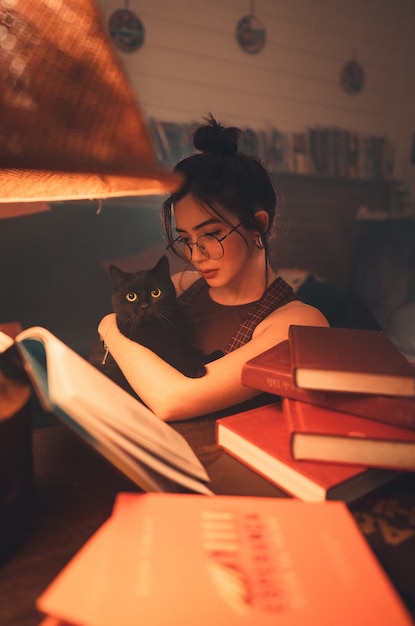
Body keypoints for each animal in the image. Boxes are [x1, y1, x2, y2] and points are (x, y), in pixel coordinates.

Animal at [92, 255, 207, 394]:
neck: (158, 329)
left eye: (155, 292)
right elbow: (175, 361)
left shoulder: (183, 338)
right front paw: (196, 369)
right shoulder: (165, 354)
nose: (145, 306)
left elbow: (190, 349)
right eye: (131, 296)